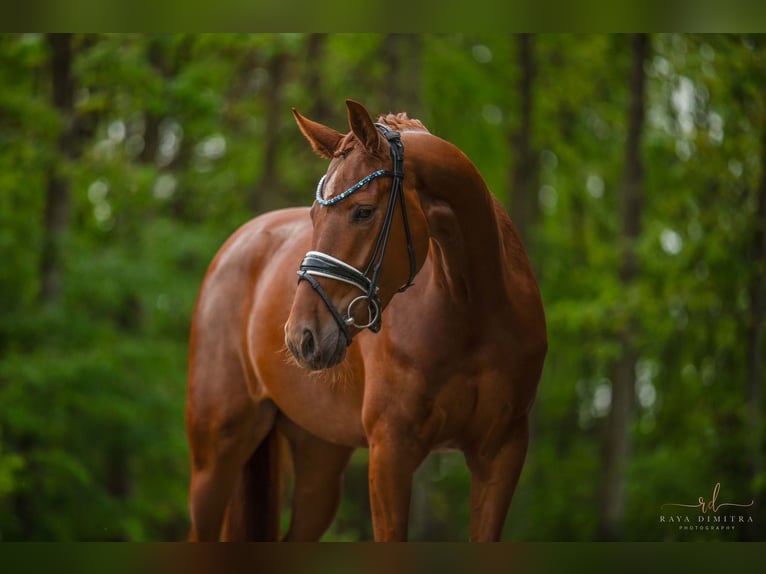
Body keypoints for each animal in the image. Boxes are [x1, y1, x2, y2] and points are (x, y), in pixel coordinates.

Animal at [185, 99, 544, 544]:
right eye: (313, 215)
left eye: (364, 211)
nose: (301, 336)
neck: (473, 313)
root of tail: (241, 241)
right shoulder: (391, 451)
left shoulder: (501, 452)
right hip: (215, 456)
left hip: (319, 458)